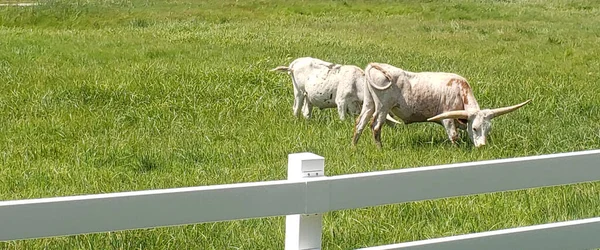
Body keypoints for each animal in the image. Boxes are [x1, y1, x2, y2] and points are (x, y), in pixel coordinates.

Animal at [352, 62, 528, 147]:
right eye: (475, 128)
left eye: (488, 129)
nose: (482, 146)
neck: (460, 92)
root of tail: (376, 65)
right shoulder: (448, 119)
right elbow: (454, 136)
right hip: (383, 106)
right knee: (375, 126)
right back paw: (380, 149)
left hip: (369, 103)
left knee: (360, 123)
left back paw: (354, 147)